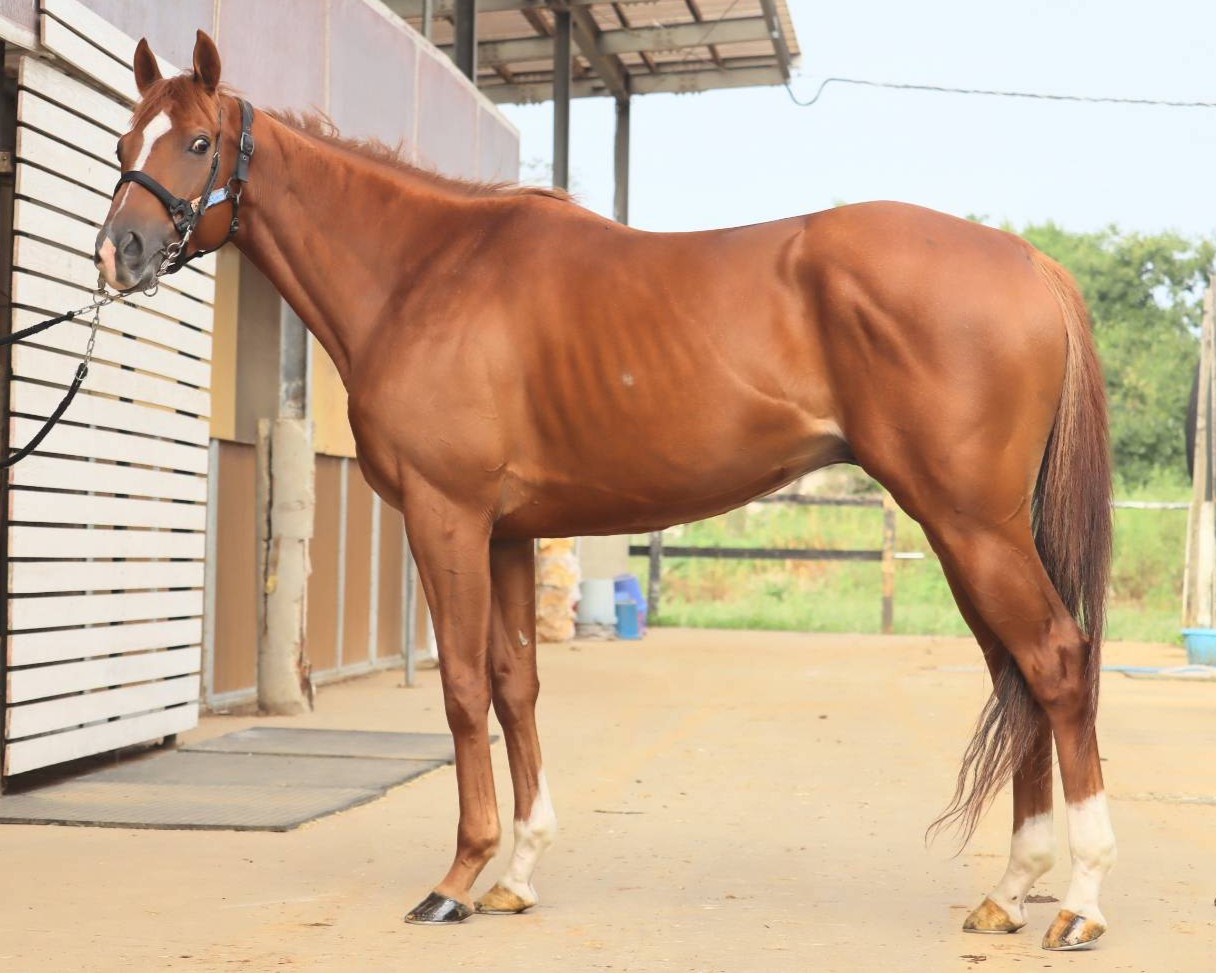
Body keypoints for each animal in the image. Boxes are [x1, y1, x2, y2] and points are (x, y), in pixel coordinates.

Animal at [94, 31, 1115, 951]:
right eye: (120, 142)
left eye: (197, 143)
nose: (120, 254)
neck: (423, 272)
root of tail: (1027, 261)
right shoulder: (507, 532)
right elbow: (517, 684)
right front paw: (517, 874)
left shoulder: (446, 517)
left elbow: (463, 688)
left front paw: (458, 879)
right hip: (968, 530)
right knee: (1016, 672)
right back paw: (1010, 891)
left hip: (970, 524)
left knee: (1056, 661)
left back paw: (1080, 902)